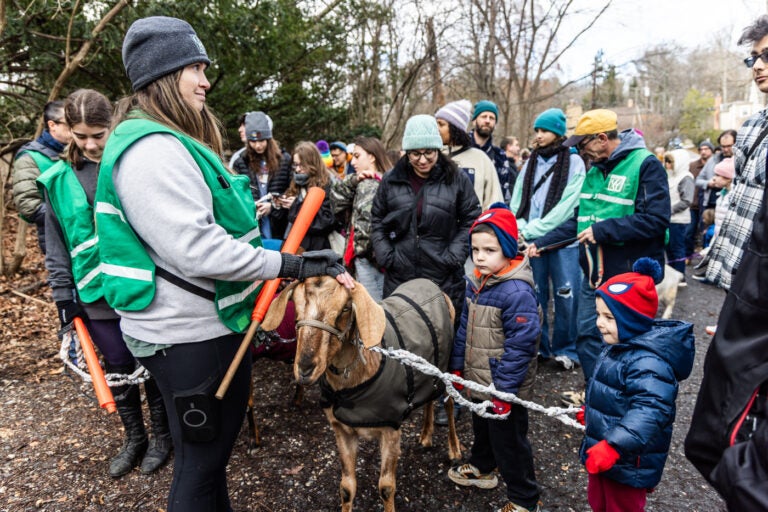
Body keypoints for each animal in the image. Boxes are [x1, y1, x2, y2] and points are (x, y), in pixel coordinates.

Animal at [260, 278, 460, 512]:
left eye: (345, 309)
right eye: (296, 309)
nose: (305, 368)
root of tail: (428, 281)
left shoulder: (391, 429)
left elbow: (386, 487)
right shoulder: (342, 430)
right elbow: (346, 487)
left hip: (447, 364)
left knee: (449, 402)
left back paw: (454, 450)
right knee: (430, 396)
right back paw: (426, 436)